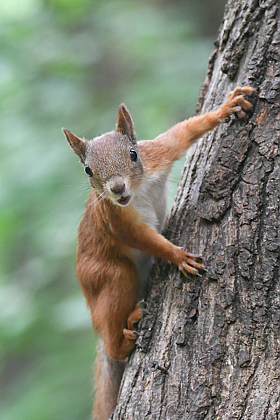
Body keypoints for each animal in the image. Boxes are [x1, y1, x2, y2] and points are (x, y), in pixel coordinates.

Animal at [62, 86, 255, 420]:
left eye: (133, 153)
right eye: (88, 170)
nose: (117, 188)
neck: (136, 191)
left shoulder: (158, 154)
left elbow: (184, 132)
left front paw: (227, 106)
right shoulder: (117, 220)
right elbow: (148, 241)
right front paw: (180, 257)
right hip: (109, 275)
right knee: (111, 330)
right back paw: (124, 338)